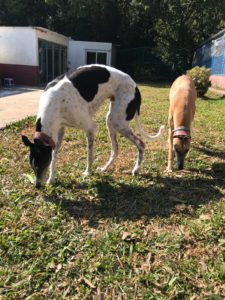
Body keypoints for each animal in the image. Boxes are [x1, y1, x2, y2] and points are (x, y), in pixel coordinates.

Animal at [22, 65, 164, 188]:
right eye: (32, 166)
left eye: (40, 165)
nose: (37, 186)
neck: (53, 101)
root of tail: (136, 87)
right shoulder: (59, 129)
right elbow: (54, 154)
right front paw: (52, 178)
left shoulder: (90, 128)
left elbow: (89, 155)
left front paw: (87, 173)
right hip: (110, 120)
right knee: (115, 150)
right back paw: (105, 168)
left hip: (118, 121)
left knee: (141, 144)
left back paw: (136, 169)